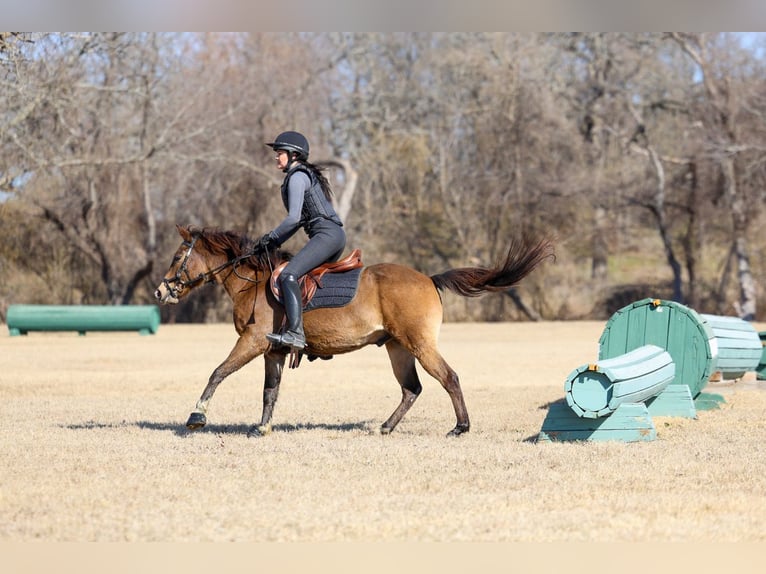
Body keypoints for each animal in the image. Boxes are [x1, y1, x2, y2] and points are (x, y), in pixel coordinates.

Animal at [154, 224, 554, 437]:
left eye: (176, 258)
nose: (160, 292)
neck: (250, 283)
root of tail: (428, 278)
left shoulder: (251, 342)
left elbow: (217, 372)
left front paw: (196, 417)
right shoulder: (273, 351)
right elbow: (270, 392)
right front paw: (262, 428)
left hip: (419, 344)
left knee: (449, 378)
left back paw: (460, 427)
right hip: (397, 347)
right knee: (412, 389)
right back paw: (386, 427)